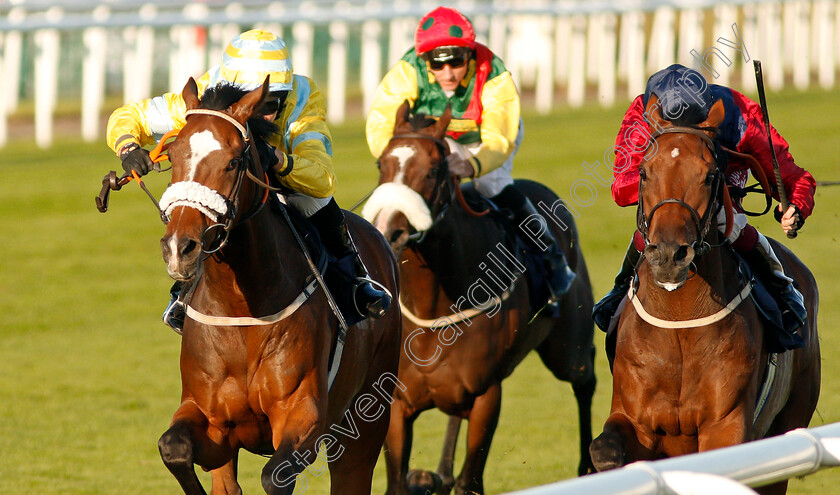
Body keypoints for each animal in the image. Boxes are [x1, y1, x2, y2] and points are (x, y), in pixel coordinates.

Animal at [156, 78, 402, 495]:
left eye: (234, 161)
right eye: (173, 154)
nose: (180, 248)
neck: (242, 308)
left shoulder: (303, 415)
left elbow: (275, 476)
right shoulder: (211, 418)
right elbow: (173, 447)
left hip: (367, 415)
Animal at [362, 102, 596, 494]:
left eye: (434, 170)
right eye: (382, 164)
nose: (387, 228)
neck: (434, 303)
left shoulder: (487, 395)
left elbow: (470, 480)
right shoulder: (397, 403)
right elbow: (397, 482)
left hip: (568, 347)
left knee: (585, 379)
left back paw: (591, 465)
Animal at [592, 95, 820, 494]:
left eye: (711, 175)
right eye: (644, 173)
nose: (669, 255)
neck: (679, 322)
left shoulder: (725, 427)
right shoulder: (634, 418)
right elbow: (605, 450)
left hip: (791, 419)